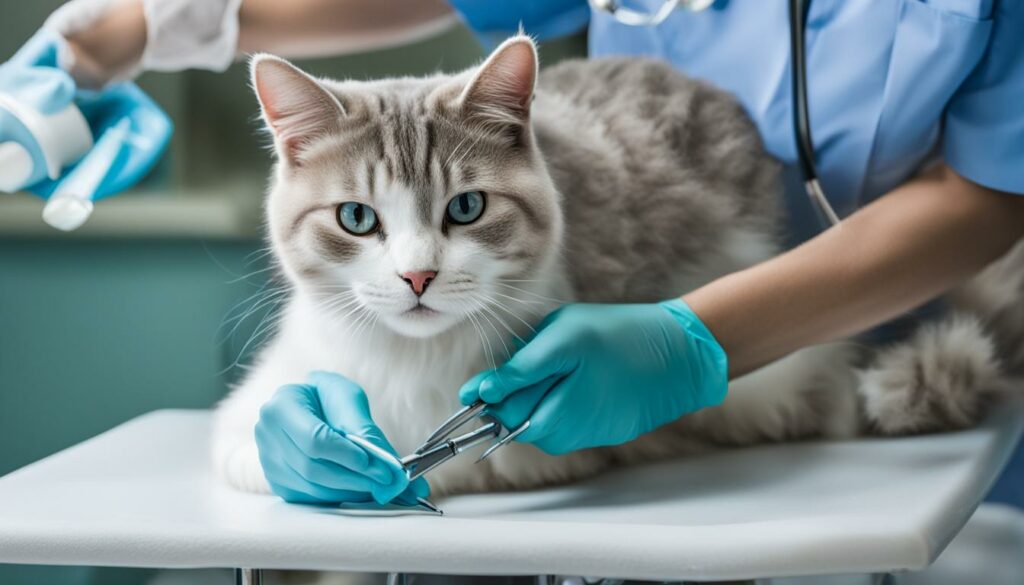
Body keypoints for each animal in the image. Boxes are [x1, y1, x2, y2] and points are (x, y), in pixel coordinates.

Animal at [209, 33, 1024, 499]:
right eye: (357, 219)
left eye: (466, 208)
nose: (417, 277)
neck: (415, 361)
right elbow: (254, 439)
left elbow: (495, 458)